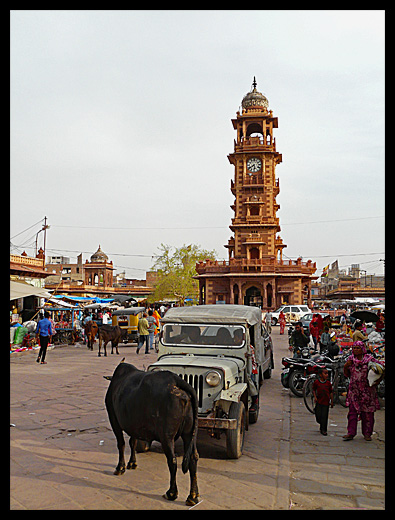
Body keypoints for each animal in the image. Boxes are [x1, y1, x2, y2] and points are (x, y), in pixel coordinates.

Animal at [104, 362, 200, 504]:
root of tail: (176, 380)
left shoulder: (114, 418)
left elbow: (121, 444)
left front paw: (120, 468)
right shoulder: (133, 424)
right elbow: (133, 442)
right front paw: (132, 463)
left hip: (167, 436)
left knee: (172, 461)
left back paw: (171, 493)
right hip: (189, 434)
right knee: (193, 458)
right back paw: (193, 496)